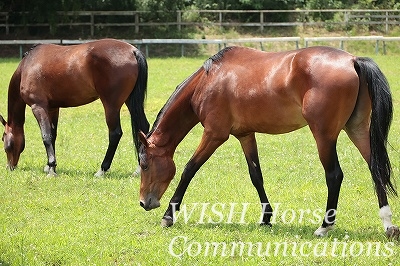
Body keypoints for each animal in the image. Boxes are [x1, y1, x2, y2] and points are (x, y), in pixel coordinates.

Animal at [0, 39, 150, 177]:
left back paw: (102, 170)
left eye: (3, 139)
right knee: (143, 127)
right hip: (130, 101)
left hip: (111, 105)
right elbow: (53, 135)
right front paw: (50, 166)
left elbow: (46, 136)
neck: (27, 66)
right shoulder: (53, 109)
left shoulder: (38, 107)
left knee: (115, 133)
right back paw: (139, 168)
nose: (9, 167)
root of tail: (132, 51)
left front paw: (51, 168)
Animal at [137, 45, 396, 239]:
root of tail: (352, 60)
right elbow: (256, 176)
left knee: (334, 176)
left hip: (324, 135)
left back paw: (324, 226)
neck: (209, 80)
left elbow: (189, 170)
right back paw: (388, 224)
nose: (144, 203)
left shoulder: (214, 135)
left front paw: (168, 216)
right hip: (357, 130)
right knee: (375, 169)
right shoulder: (245, 135)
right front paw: (266, 218)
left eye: (145, 165)